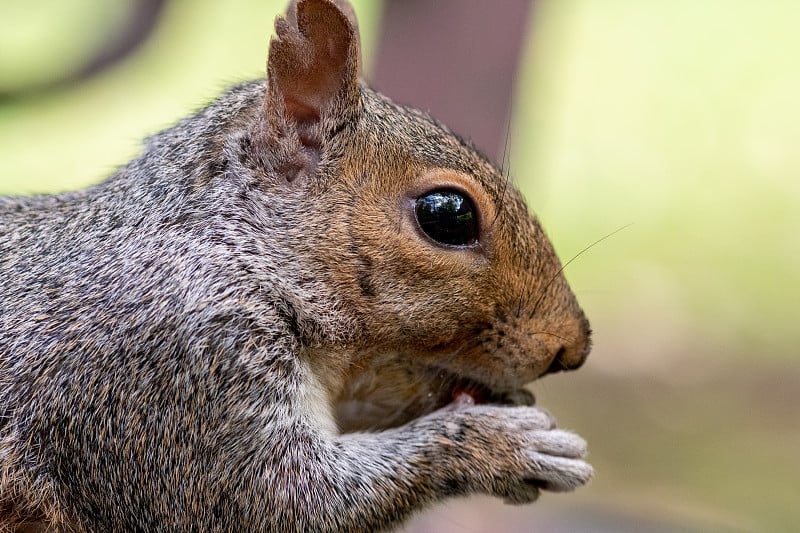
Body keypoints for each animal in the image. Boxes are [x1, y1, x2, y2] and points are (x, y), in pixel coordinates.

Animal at [0, 2, 592, 528]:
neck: (231, 248)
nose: (573, 348)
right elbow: (283, 498)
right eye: (448, 214)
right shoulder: (173, 373)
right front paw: (505, 444)